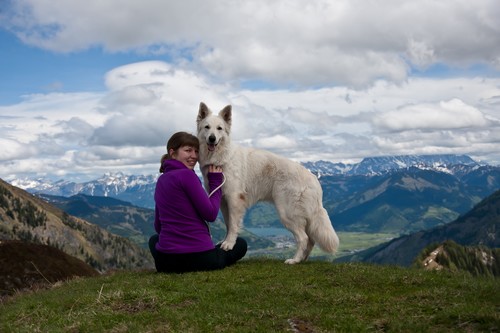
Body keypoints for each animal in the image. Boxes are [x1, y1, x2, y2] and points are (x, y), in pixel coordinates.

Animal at [195, 101, 340, 262]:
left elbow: (233, 225)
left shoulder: (234, 200)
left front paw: (229, 244)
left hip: (287, 213)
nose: (212, 138)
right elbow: (228, 224)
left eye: (219, 128)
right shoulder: (223, 202)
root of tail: (313, 179)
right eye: (207, 127)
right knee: (311, 240)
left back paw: (294, 260)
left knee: (304, 238)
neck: (222, 158)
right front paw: (226, 241)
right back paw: (302, 260)